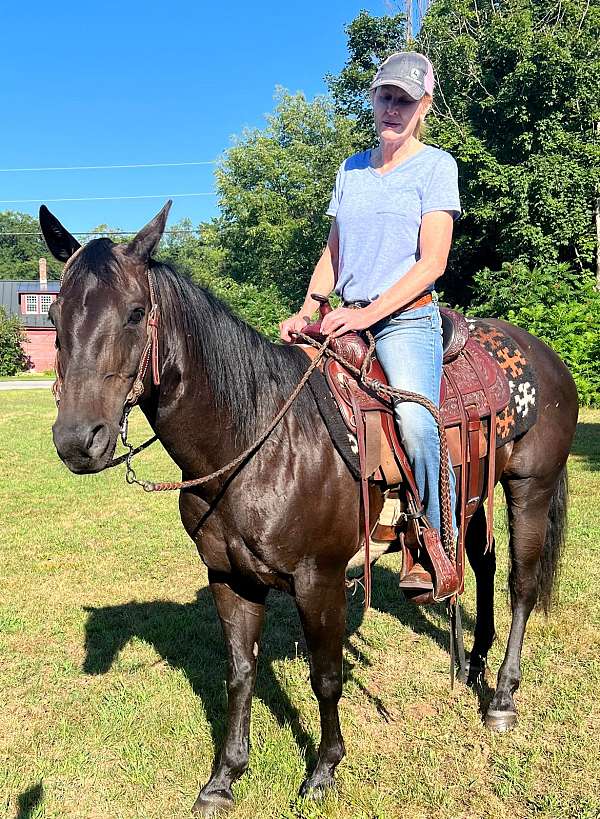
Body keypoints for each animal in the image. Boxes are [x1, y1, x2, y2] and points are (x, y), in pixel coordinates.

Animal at [41, 203, 576, 812]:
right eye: (54, 312)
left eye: (135, 314)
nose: (77, 440)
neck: (258, 439)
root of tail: (546, 356)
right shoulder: (229, 577)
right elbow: (240, 672)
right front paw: (224, 778)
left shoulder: (318, 579)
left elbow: (327, 676)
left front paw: (323, 769)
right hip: (472, 491)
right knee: (481, 566)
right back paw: (474, 664)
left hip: (529, 486)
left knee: (521, 584)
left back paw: (502, 697)